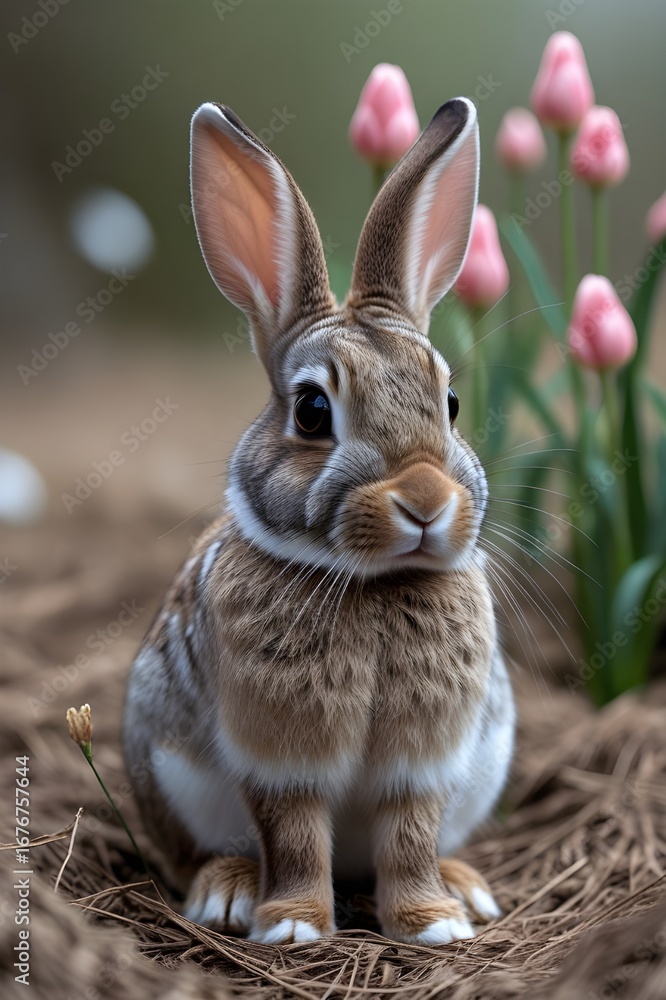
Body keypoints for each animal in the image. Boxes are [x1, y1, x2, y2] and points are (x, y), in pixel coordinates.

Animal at [123, 96, 515, 946]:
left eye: (450, 403)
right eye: (311, 411)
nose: (426, 499)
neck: (373, 583)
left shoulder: (425, 763)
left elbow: (411, 832)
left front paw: (434, 923)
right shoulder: (278, 759)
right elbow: (295, 832)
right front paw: (294, 926)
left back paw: (467, 887)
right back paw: (228, 892)